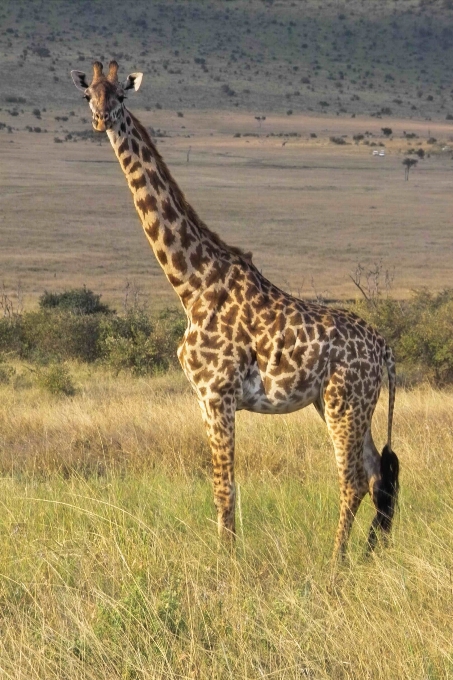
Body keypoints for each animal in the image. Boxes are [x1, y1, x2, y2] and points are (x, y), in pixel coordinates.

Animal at [70, 62, 400, 564]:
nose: (100, 119)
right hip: (339, 404)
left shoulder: (218, 393)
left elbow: (224, 490)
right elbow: (223, 489)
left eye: (120, 96)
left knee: (353, 479)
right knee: (377, 473)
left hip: (346, 400)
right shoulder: (203, 398)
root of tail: (384, 350)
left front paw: (225, 566)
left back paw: (335, 562)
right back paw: (364, 557)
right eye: (88, 93)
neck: (193, 286)